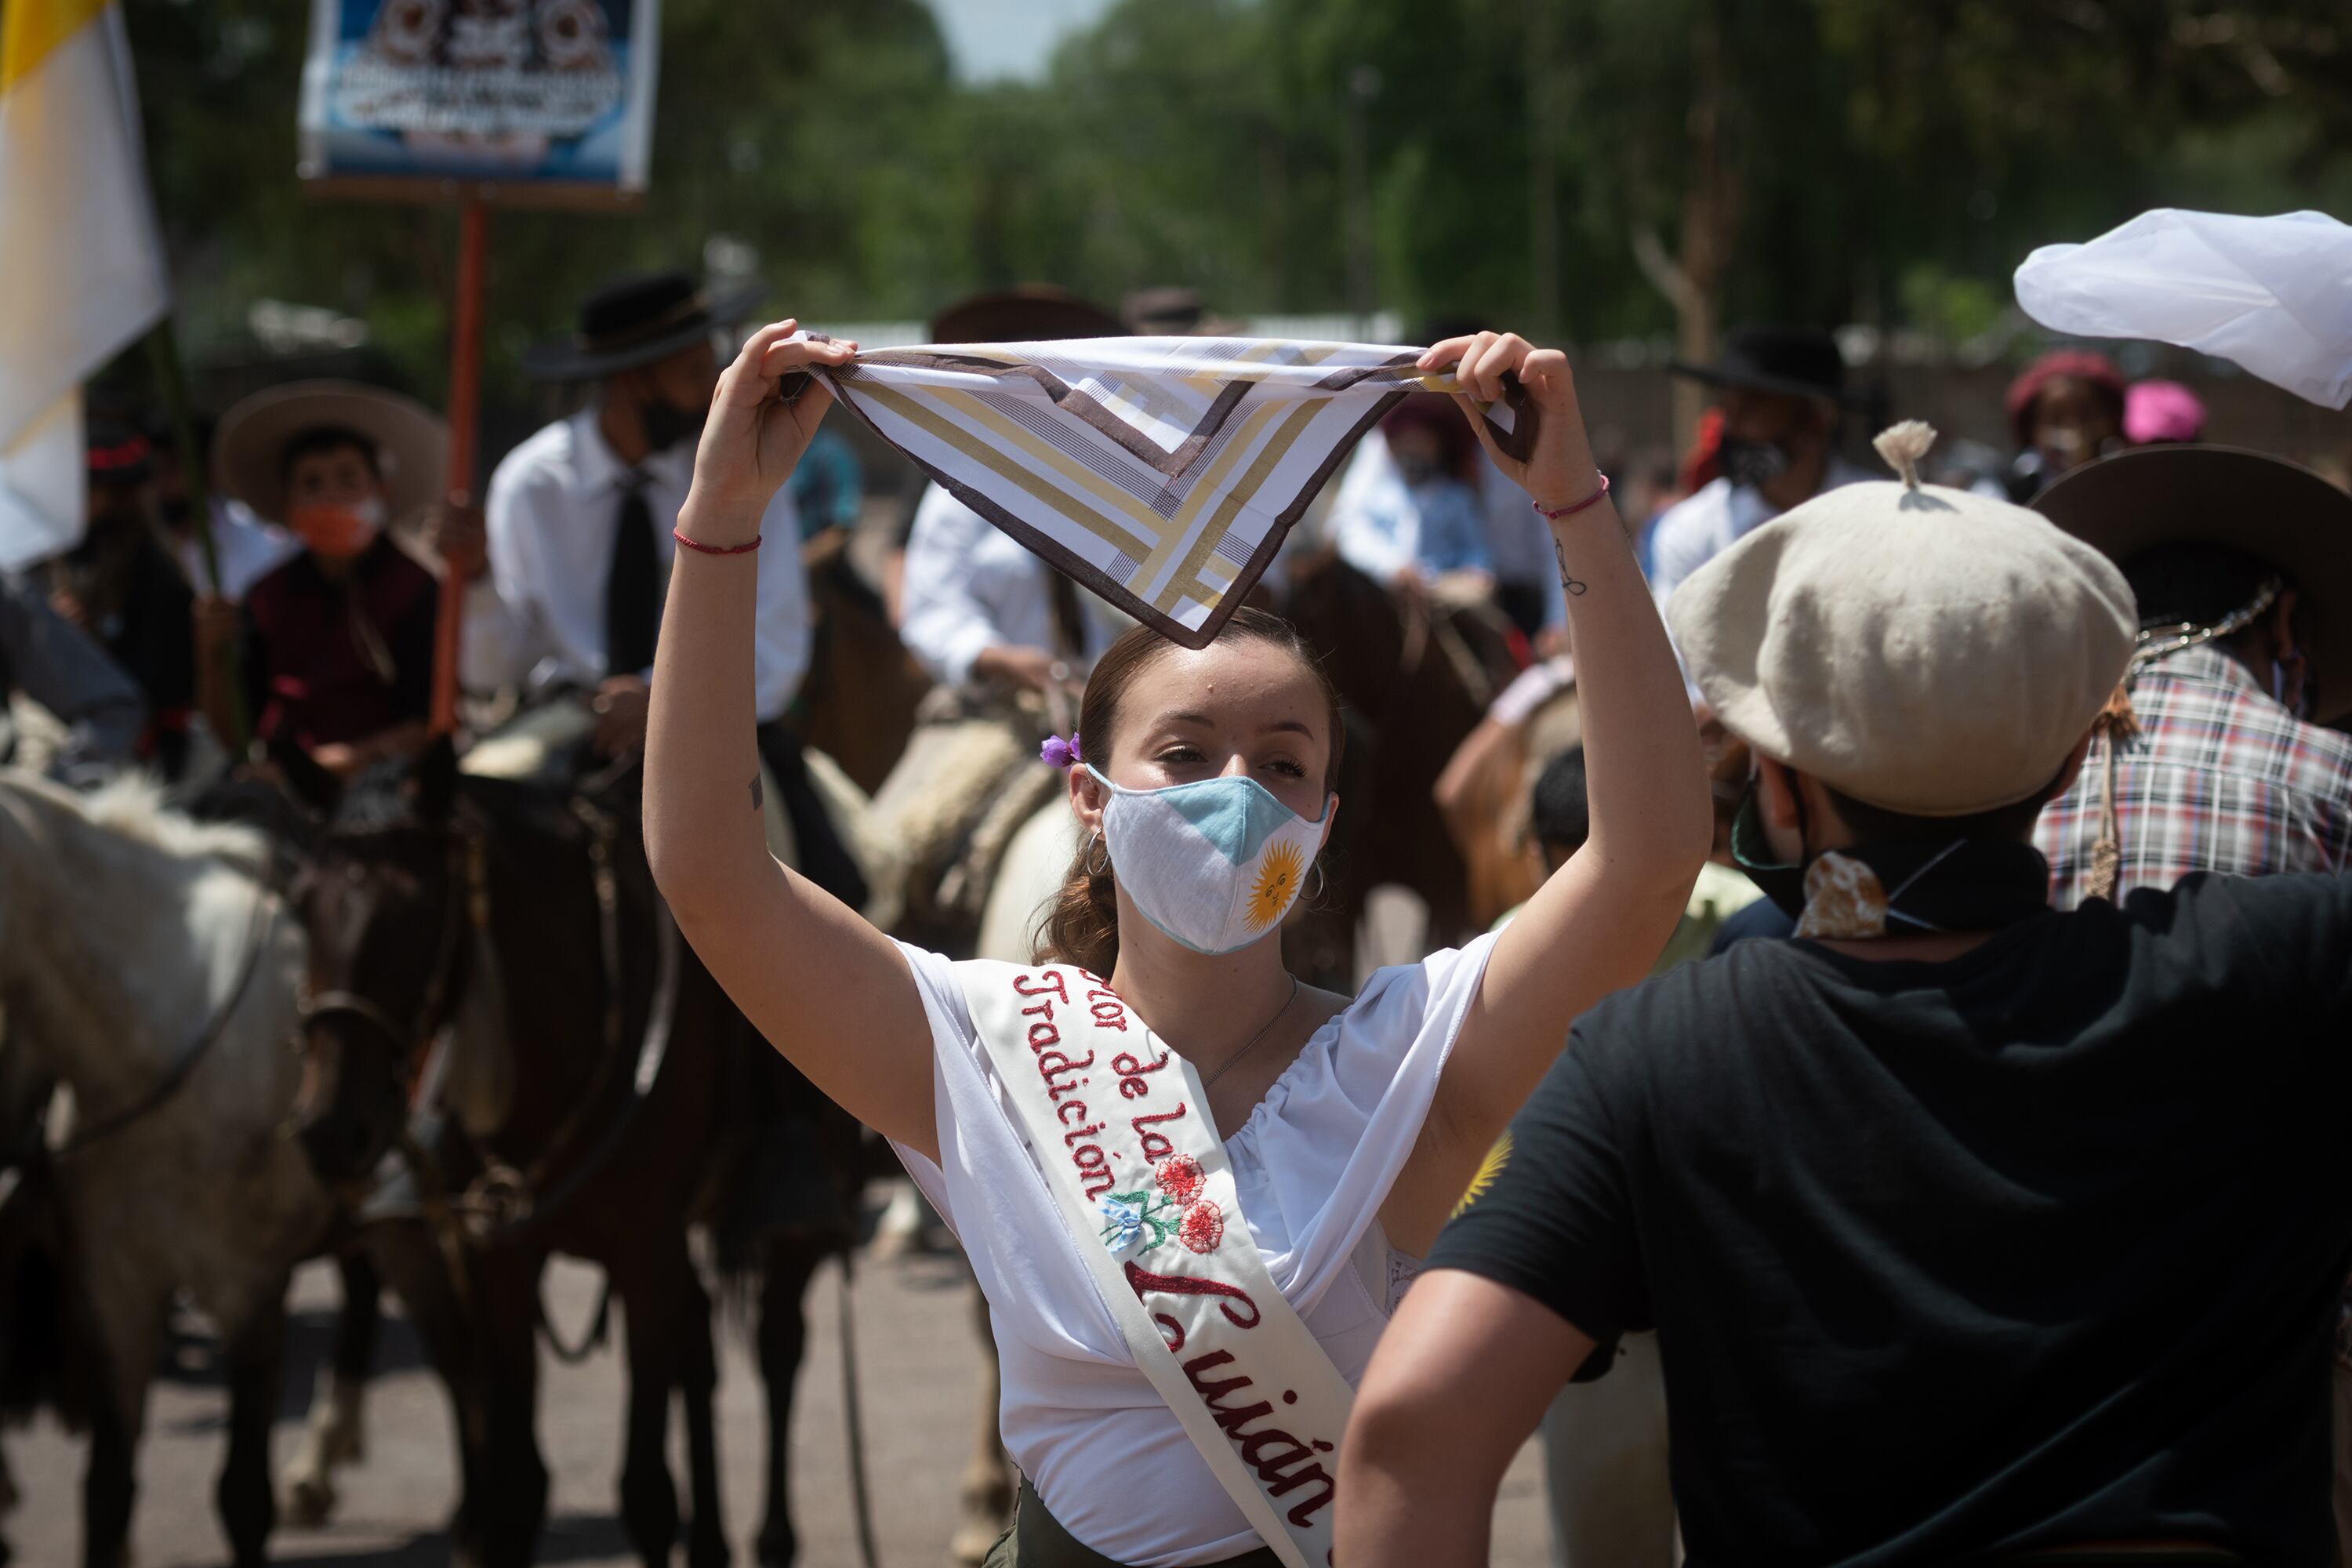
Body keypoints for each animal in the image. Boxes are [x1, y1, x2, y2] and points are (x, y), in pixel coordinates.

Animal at [285, 747, 856, 1568]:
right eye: (301, 903)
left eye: (416, 912)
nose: (331, 1128)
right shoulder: (502, 1257)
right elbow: (521, 1482)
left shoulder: (643, 1251)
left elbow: (646, 1490)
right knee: (699, 1348)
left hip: (790, 1226)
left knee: (778, 1347)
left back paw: (771, 1539)